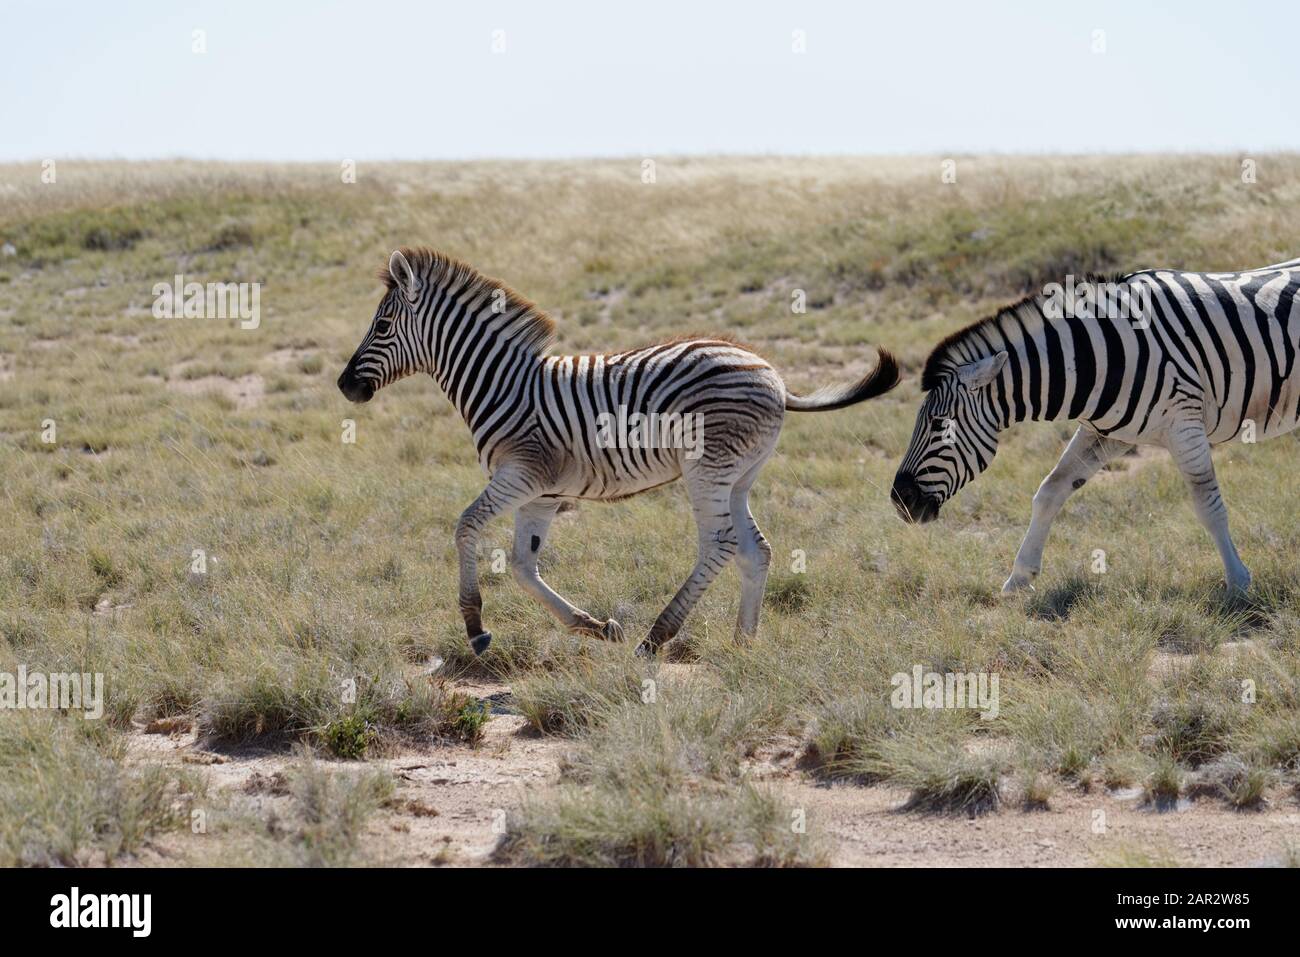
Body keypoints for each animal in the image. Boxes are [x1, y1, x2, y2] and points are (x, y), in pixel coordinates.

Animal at [340, 244, 899, 657]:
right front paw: (592, 625)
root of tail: (777, 379)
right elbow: (522, 564)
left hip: (707, 469)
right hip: (739, 475)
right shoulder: (542, 493)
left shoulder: (521, 475)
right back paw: (743, 643)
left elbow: (466, 526)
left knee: (719, 545)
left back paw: (657, 637)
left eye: (382, 328)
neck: (502, 384)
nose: (345, 387)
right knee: (754, 549)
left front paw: (476, 628)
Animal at [889, 257, 1300, 595]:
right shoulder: (1104, 432)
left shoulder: (1184, 424)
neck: (1101, 358)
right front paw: (1019, 577)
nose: (899, 500)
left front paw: (1238, 581)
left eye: (940, 425)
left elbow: (1208, 505)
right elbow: (1050, 491)